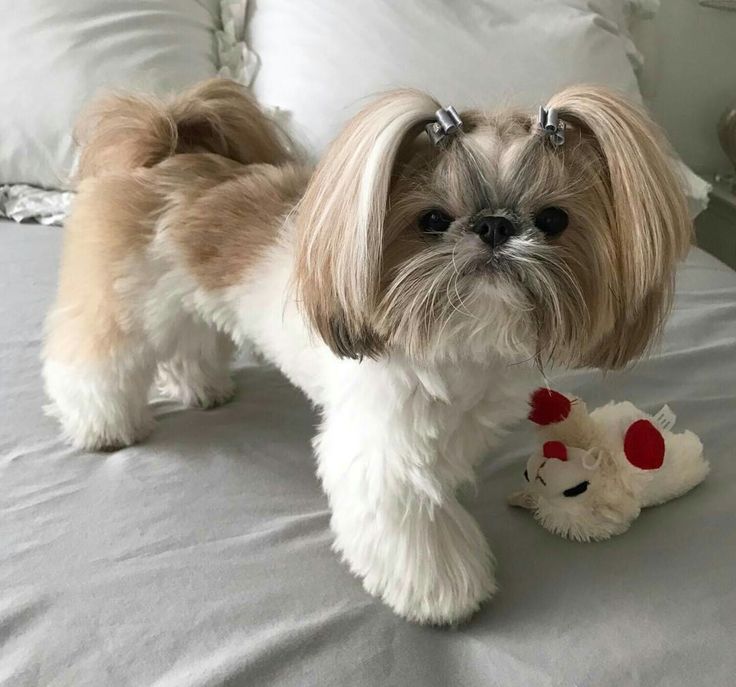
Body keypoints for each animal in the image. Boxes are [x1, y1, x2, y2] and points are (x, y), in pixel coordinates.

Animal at [44, 78, 688, 628]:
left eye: (554, 220)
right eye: (432, 220)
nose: (494, 226)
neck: (461, 345)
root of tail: (170, 147)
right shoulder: (385, 449)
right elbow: (415, 527)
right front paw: (444, 594)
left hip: (185, 302)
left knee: (189, 343)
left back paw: (203, 388)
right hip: (126, 301)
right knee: (94, 357)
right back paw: (105, 425)